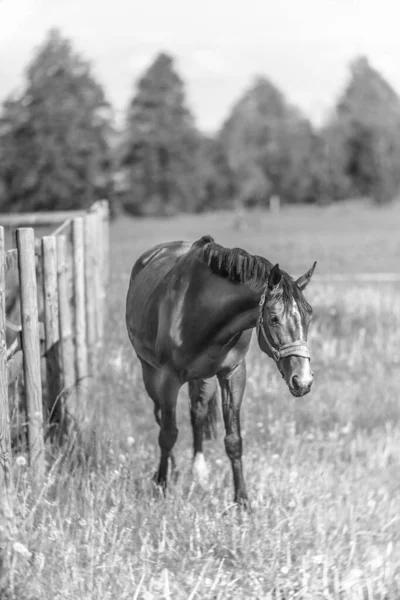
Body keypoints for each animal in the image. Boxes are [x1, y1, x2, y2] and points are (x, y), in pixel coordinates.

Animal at [125, 236, 316, 506]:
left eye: (309, 316)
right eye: (274, 318)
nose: (303, 381)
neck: (201, 310)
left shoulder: (233, 374)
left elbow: (233, 440)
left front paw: (242, 500)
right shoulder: (169, 378)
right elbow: (168, 434)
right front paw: (161, 486)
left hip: (203, 378)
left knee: (197, 412)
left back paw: (199, 472)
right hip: (149, 372)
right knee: (160, 414)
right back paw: (173, 471)